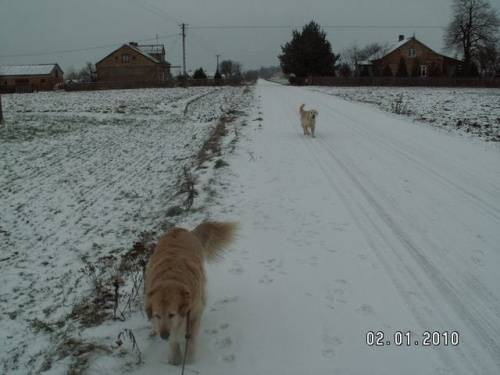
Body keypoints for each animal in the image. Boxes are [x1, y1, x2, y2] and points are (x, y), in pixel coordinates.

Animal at [146, 222, 237, 366]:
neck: (170, 278)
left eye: (171, 314)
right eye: (157, 315)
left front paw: (188, 358)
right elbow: (174, 339)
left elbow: (192, 337)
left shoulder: (195, 313)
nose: (164, 335)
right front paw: (176, 357)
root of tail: (182, 230)